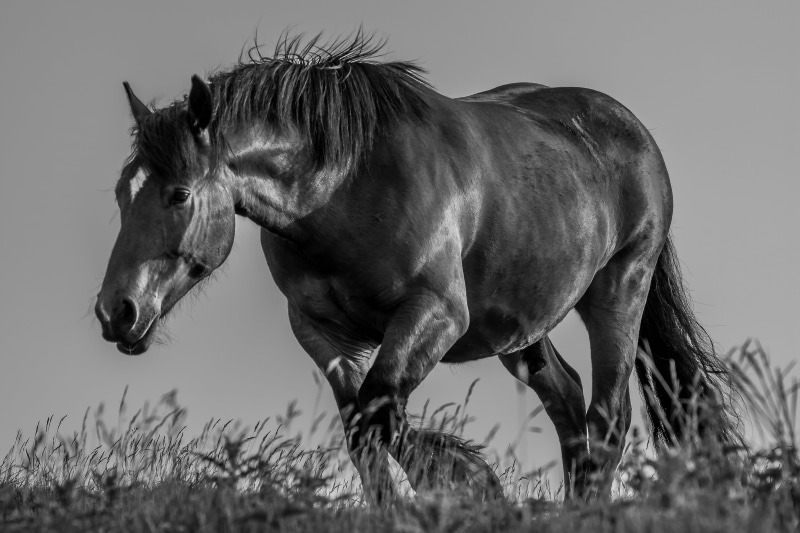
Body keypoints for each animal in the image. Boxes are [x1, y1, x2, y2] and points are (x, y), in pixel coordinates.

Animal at [95, 34, 737, 500]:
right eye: (122, 194)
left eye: (179, 194)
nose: (116, 311)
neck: (346, 186)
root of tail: (631, 132)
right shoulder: (323, 332)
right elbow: (365, 430)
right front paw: (455, 484)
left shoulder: (435, 313)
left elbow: (381, 412)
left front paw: (467, 482)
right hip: (522, 328)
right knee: (569, 406)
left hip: (618, 292)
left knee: (608, 419)